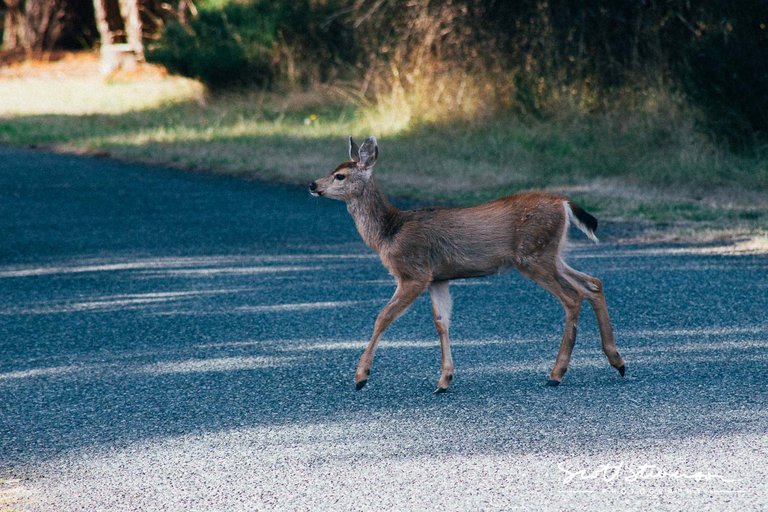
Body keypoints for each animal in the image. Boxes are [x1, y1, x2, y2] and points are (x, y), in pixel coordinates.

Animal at [308, 135, 628, 392]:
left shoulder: (414, 272)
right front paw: (444, 380)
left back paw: (556, 373)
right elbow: (441, 322)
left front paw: (361, 376)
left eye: (340, 176)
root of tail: (563, 202)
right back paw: (617, 361)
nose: (312, 184)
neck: (389, 231)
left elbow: (383, 317)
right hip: (552, 254)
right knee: (593, 284)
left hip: (533, 256)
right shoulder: (438, 278)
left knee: (573, 297)